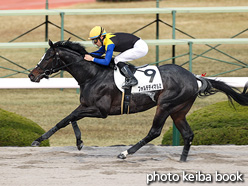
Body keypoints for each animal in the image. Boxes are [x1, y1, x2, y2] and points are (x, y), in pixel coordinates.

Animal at [28, 40, 248, 161]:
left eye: (48, 57)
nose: (32, 75)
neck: (93, 75)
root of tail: (194, 78)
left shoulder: (100, 111)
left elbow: (65, 119)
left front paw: (39, 139)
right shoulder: (87, 106)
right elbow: (71, 118)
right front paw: (80, 142)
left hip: (165, 105)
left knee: (154, 131)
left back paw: (125, 153)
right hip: (179, 110)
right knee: (188, 134)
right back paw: (182, 160)